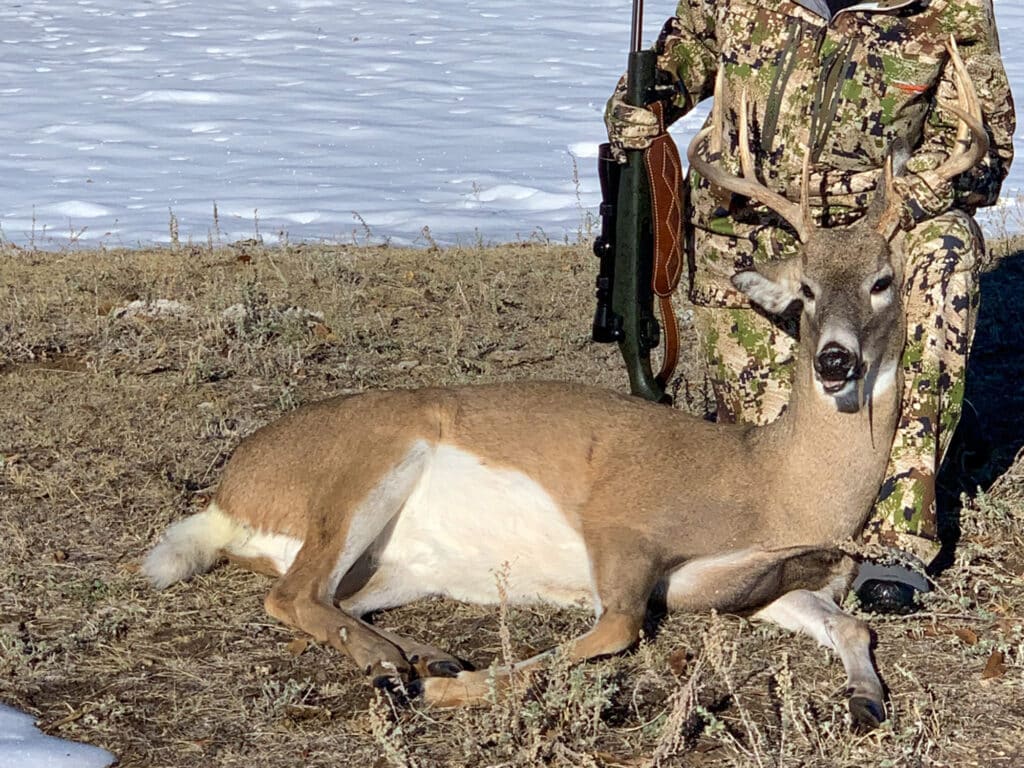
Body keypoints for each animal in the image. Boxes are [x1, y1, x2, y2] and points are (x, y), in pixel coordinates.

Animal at [143, 39, 986, 730]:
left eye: (882, 281)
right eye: (805, 290)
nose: (835, 361)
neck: (771, 487)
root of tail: (228, 493)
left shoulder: (755, 585)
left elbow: (853, 623)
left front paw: (865, 700)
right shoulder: (622, 525)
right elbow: (612, 630)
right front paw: (457, 689)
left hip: (389, 565)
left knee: (321, 596)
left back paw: (413, 656)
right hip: (370, 459)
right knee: (290, 594)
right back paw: (404, 670)